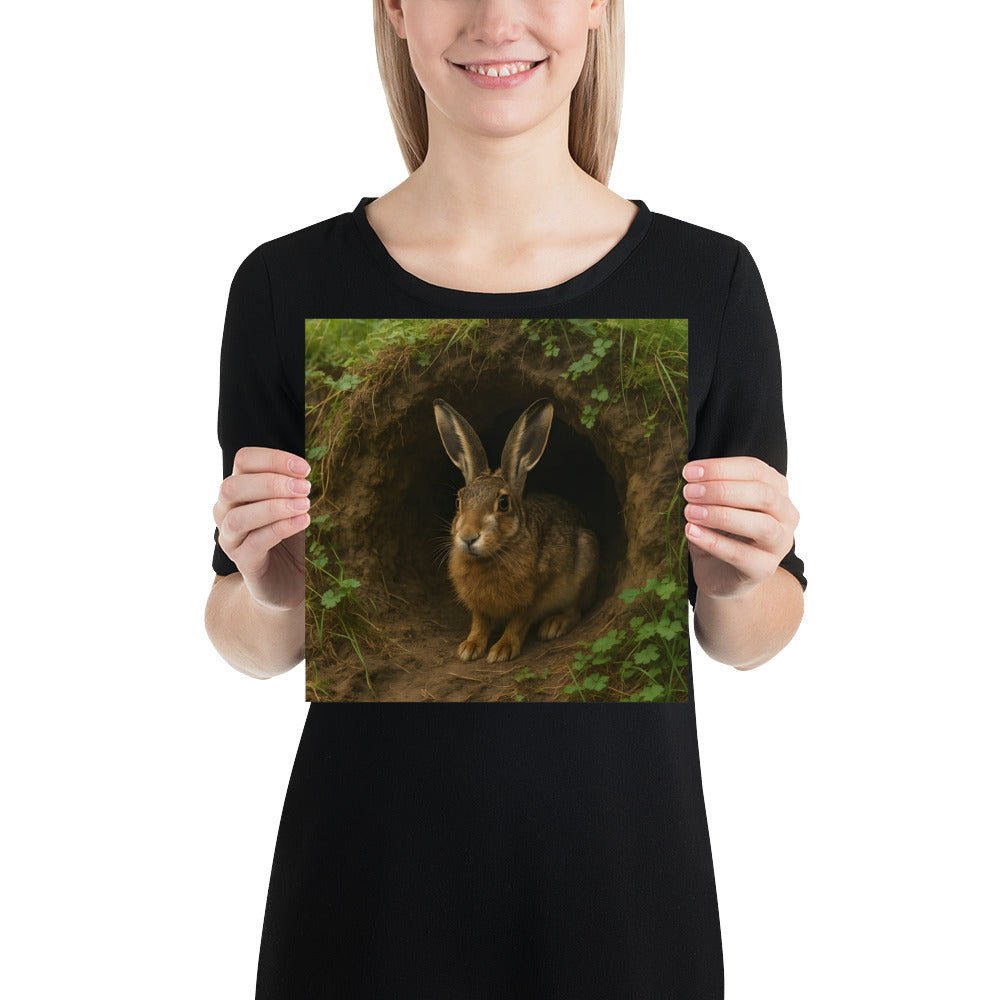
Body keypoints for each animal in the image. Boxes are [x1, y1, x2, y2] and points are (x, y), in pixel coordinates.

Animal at [433, 397, 599, 664]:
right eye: (458, 501)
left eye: (503, 503)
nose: (468, 537)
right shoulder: (477, 604)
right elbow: (479, 622)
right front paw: (469, 647)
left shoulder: (534, 595)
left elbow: (518, 623)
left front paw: (502, 650)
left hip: (585, 557)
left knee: (575, 610)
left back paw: (554, 625)